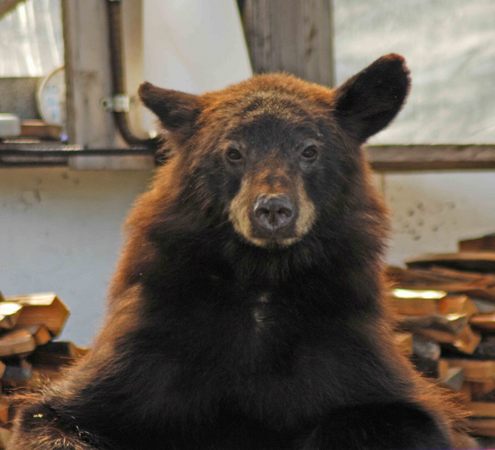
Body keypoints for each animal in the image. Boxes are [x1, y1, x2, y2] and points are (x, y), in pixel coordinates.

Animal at [5, 54, 474, 448]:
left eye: (310, 149)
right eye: (232, 152)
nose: (273, 210)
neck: (261, 278)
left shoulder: (346, 343)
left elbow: (395, 417)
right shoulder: (151, 340)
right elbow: (57, 416)